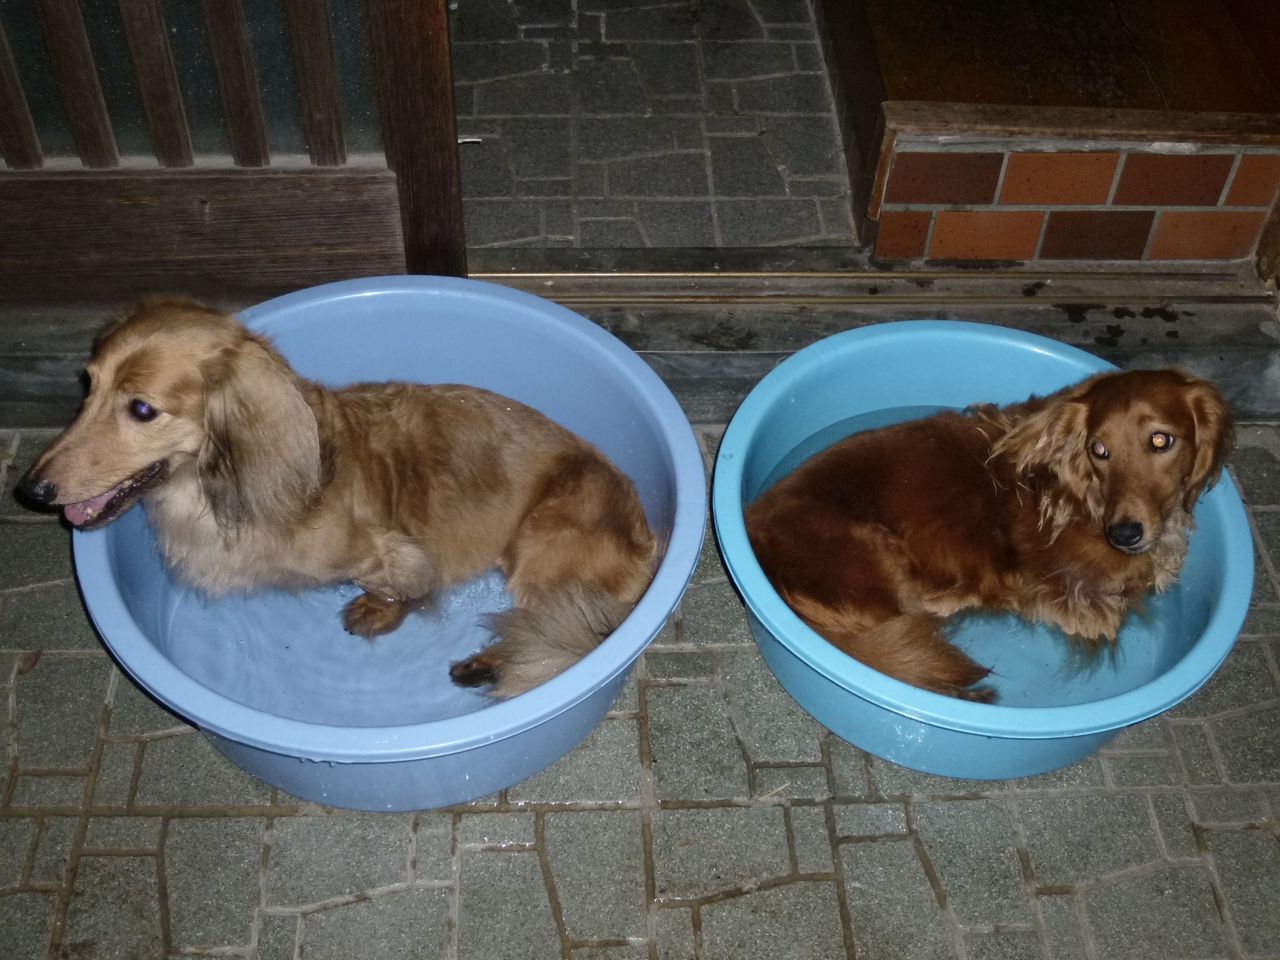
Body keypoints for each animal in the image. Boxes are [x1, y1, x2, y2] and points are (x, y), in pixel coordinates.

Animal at [19, 297, 656, 697]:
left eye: (142, 409)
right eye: (88, 386)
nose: (31, 488)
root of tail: (647, 538)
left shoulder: (392, 553)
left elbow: (400, 586)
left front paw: (378, 611)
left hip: (542, 551)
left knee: (555, 626)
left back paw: (490, 664)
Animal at [745, 368, 1232, 702]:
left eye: (1161, 441)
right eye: (1100, 450)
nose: (1125, 534)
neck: (1080, 492)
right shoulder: (1074, 601)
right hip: (878, 558)